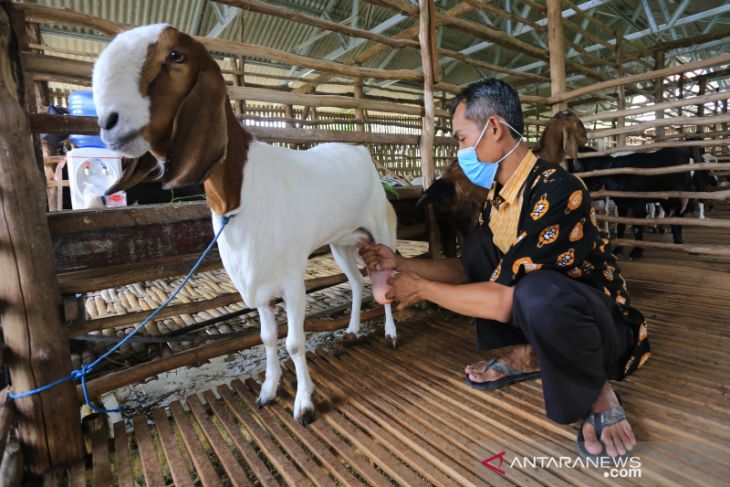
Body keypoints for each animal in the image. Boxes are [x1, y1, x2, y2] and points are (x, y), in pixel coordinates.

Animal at [94, 24, 398, 426]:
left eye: (176, 55)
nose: (108, 123)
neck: (237, 196)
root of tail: (362, 152)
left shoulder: (291, 280)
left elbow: (294, 342)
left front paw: (304, 404)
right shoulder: (258, 283)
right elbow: (267, 338)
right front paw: (268, 390)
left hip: (380, 230)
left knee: (386, 280)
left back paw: (392, 333)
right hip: (342, 243)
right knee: (356, 281)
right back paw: (350, 330)